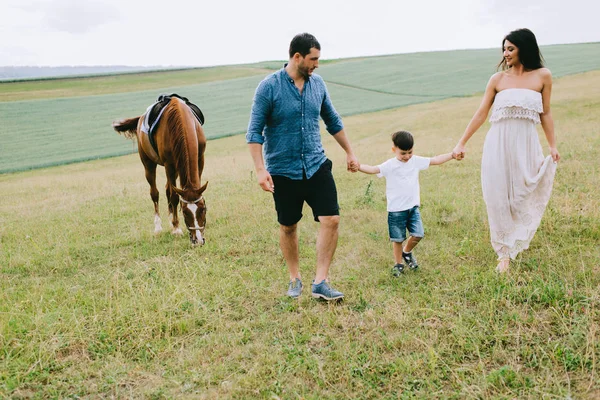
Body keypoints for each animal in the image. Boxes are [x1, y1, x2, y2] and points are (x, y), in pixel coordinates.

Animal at [113, 97, 207, 247]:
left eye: (203, 209)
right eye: (185, 212)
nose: (197, 240)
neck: (181, 119)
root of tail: (140, 118)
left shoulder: (200, 159)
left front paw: (175, 224)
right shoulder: (169, 165)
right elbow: (174, 196)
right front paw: (177, 229)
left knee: (167, 189)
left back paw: (171, 221)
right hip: (149, 165)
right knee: (155, 193)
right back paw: (159, 227)